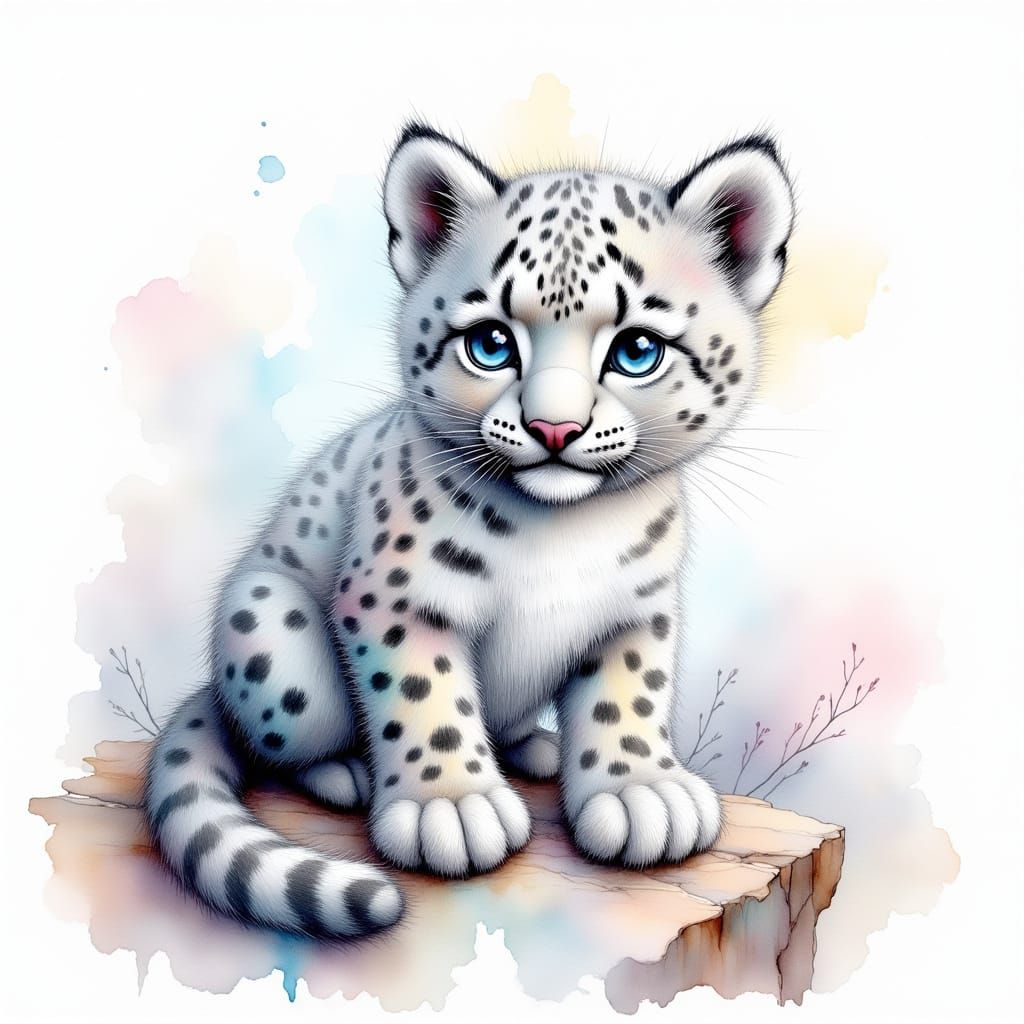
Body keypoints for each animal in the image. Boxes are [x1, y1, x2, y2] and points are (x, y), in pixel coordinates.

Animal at [144, 123, 795, 938]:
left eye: (636, 349)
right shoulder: (396, 600)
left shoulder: (638, 610)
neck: (565, 531)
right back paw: (343, 772)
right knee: (281, 736)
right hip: (270, 633)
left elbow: (630, 697)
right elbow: (424, 695)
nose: (555, 428)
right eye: (490, 342)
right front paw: (449, 806)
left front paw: (640, 788)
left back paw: (534, 747)